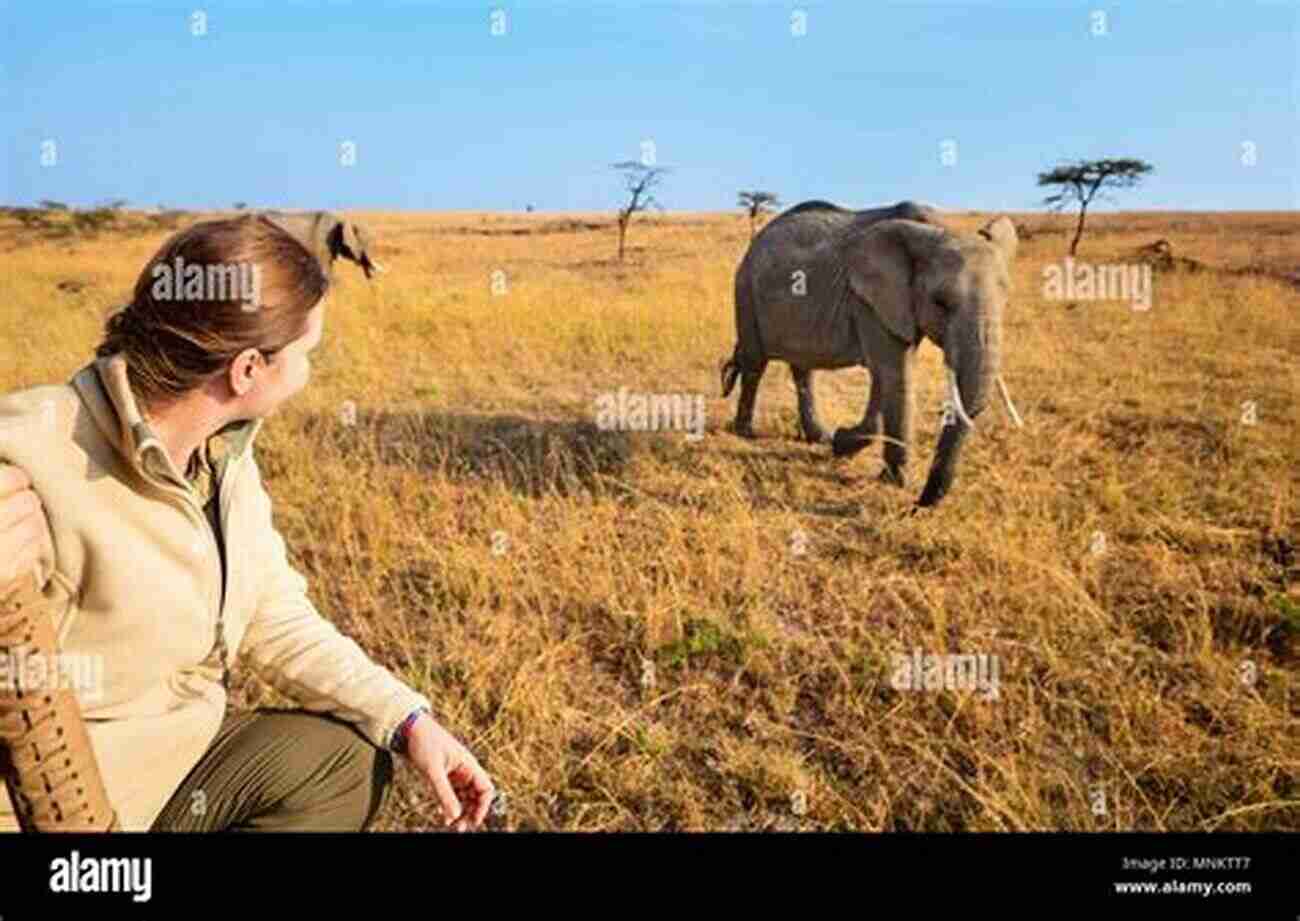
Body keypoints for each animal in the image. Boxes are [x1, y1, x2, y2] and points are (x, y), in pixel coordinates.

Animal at [717, 196, 1019, 507]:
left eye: (1005, 299)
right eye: (941, 303)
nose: (917, 505)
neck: (940, 228)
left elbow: (885, 375)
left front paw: (841, 443)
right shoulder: (869, 300)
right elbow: (895, 373)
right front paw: (892, 480)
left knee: (802, 368)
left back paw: (819, 438)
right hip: (745, 289)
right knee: (755, 364)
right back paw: (746, 433)